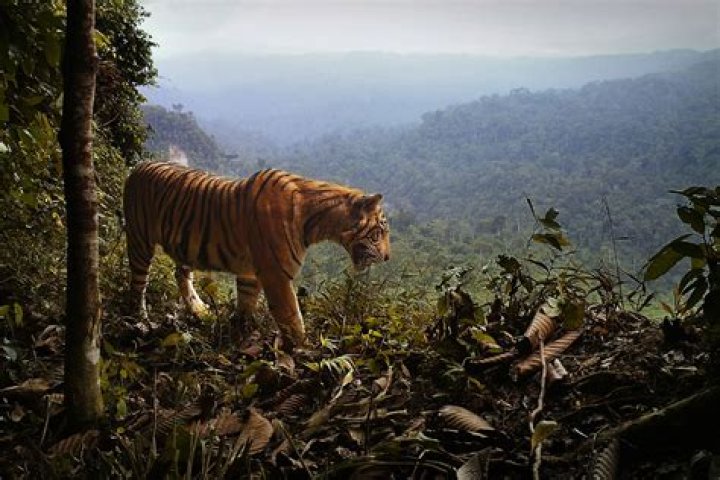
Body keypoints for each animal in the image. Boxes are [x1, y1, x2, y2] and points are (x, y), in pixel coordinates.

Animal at [123, 162, 390, 349]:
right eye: (379, 232)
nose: (388, 258)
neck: (317, 223)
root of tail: (139, 166)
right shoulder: (276, 275)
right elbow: (292, 317)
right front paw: (305, 350)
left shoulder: (250, 272)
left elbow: (246, 304)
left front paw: (240, 334)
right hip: (139, 242)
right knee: (138, 285)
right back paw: (139, 321)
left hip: (183, 247)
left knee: (180, 273)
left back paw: (199, 310)